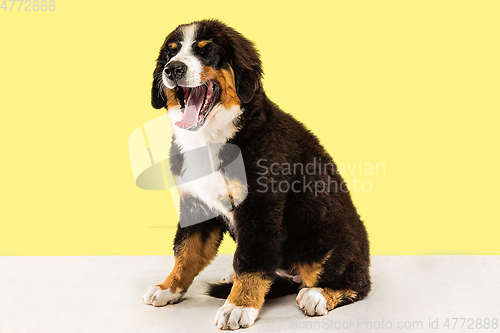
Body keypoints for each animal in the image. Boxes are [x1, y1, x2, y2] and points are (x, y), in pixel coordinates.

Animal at [143, 19, 370, 328]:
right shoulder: (196, 203)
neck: (211, 138)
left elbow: (250, 260)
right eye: (171, 53)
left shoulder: (260, 207)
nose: (173, 69)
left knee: (356, 283)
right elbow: (186, 251)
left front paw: (239, 306)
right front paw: (168, 288)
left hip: (326, 240)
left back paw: (318, 296)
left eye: (206, 51)